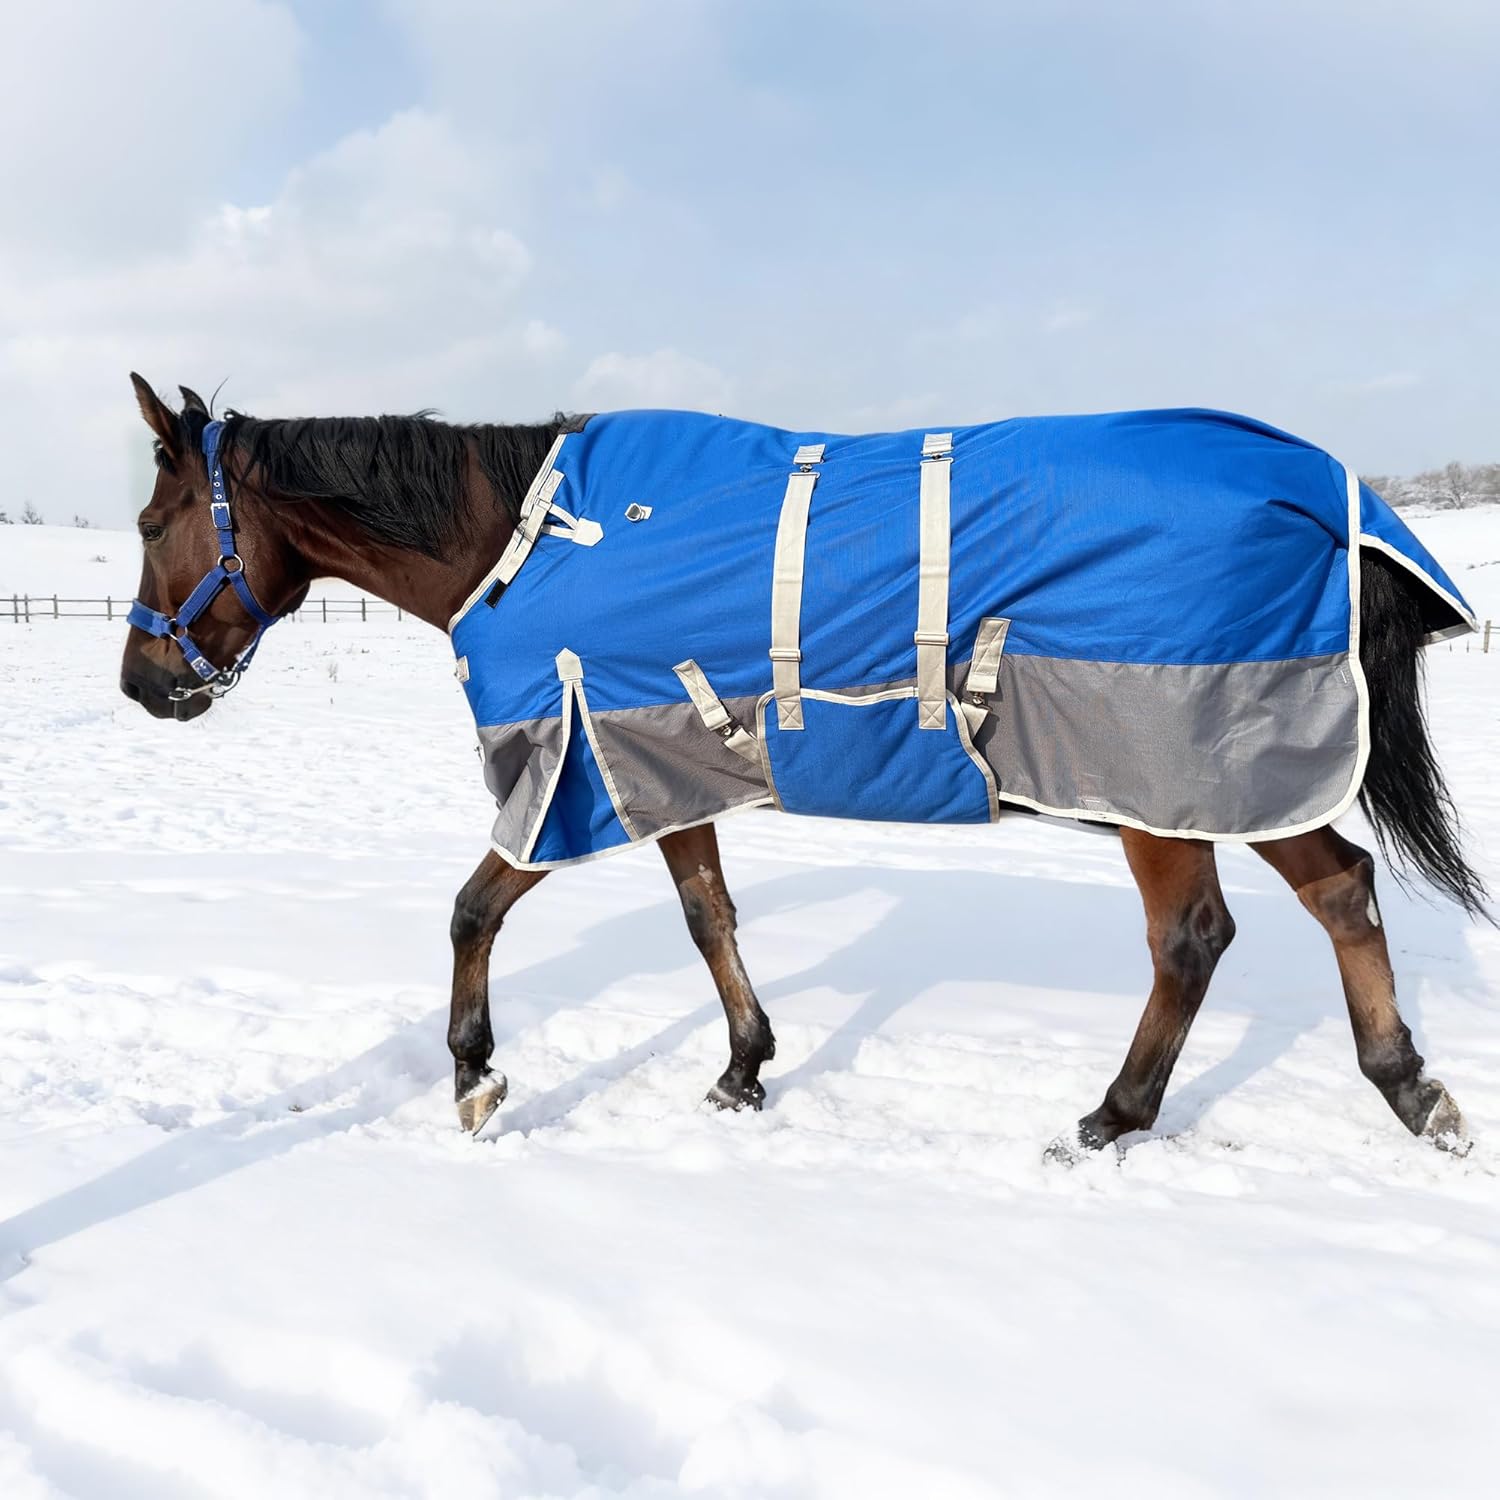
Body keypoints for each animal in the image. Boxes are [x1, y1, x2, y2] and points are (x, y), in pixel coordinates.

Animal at [118, 374, 1486, 1159]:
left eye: (149, 522)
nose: (142, 683)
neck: (529, 539)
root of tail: (1331, 495)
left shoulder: (569, 768)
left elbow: (472, 908)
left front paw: (473, 1072)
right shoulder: (656, 762)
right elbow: (708, 917)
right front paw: (741, 1068)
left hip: (1169, 778)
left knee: (1214, 931)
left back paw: (1136, 1113)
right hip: (1214, 779)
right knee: (1314, 899)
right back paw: (1385, 1088)